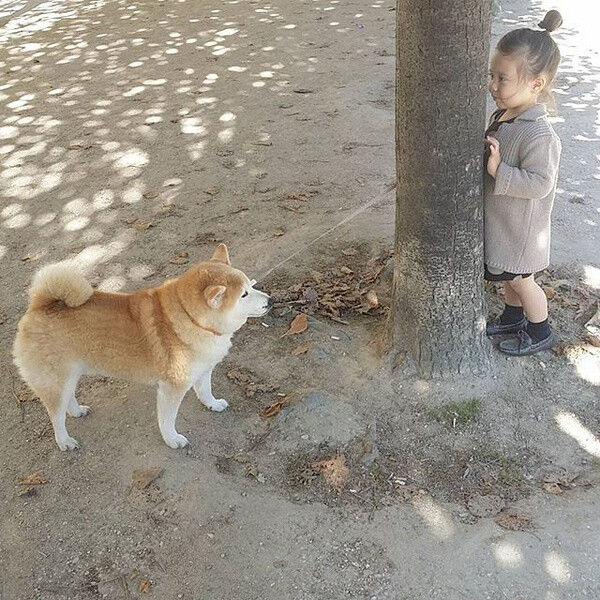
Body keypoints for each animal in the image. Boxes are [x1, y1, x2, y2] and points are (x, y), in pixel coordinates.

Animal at [12, 244, 270, 450]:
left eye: (249, 286)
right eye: (244, 294)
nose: (270, 301)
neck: (190, 318)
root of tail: (39, 306)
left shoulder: (203, 370)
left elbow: (205, 391)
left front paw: (213, 404)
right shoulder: (172, 388)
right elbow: (167, 420)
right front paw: (172, 439)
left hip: (69, 375)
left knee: (68, 399)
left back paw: (76, 411)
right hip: (55, 380)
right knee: (56, 416)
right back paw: (64, 441)